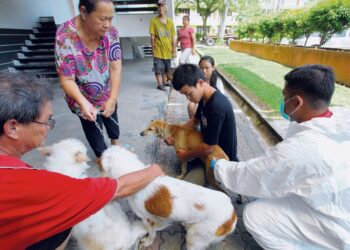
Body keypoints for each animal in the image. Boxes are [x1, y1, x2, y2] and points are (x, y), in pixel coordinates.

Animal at [101, 145, 238, 250]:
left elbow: (151, 232)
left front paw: (148, 241)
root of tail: (232, 214)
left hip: (195, 237)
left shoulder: (146, 218)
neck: (137, 174)